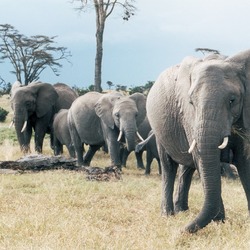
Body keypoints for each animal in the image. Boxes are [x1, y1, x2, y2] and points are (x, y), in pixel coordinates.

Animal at [146, 50, 250, 232]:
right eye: (191, 102)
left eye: (232, 100)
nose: (180, 231)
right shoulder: (189, 116)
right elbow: (202, 159)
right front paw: (219, 222)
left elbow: (244, 159)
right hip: (159, 131)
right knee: (168, 166)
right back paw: (168, 214)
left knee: (187, 167)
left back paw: (182, 211)